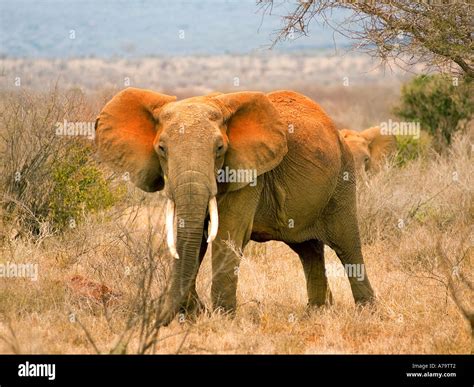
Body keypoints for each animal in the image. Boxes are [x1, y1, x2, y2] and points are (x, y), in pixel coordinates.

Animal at [95, 88, 378, 324]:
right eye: (161, 149)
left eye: (220, 148)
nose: (156, 321)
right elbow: (195, 239)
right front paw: (195, 313)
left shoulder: (248, 174)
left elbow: (226, 235)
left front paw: (222, 318)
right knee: (308, 250)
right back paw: (317, 313)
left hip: (342, 180)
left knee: (347, 245)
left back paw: (367, 311)